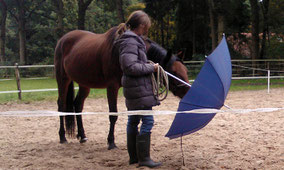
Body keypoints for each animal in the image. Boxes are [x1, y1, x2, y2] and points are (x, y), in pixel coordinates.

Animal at [54, 25, 190, 149]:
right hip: (63, 79)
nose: (189, 91)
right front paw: (111, 142)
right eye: (174, 72)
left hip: (84, 84)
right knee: (61, 105)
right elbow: (113, 115)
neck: (119, 51)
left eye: (185, 70)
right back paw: (62, 136)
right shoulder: (112, 87)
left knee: (78, 105)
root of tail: (62, 40)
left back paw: (82, 136)